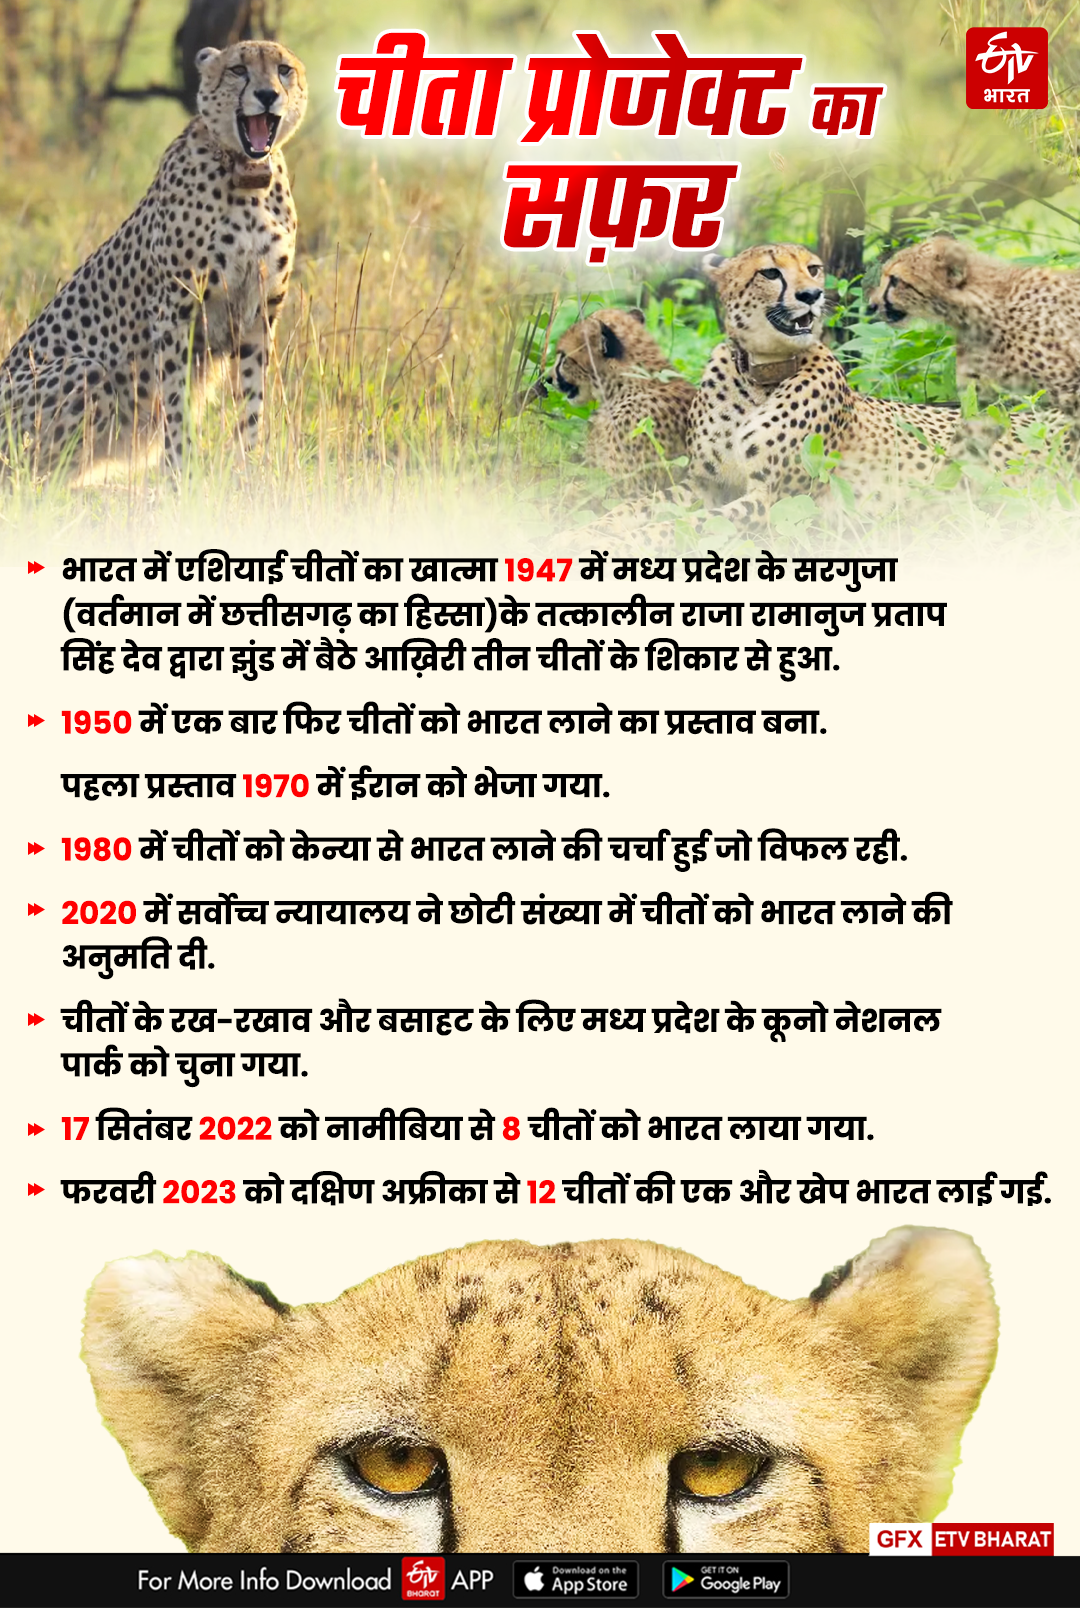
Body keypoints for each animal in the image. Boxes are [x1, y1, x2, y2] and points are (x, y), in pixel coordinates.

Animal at [0, 40, 306, 478]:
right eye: (238, 70)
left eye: (284, 69)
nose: (267, 95)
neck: (246, 178)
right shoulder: (175, 311)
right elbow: (176, 403)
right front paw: (182, 477)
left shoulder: (260, 312)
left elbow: (251, 403)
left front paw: (248, 472)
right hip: (83, 369)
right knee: (31, 476)